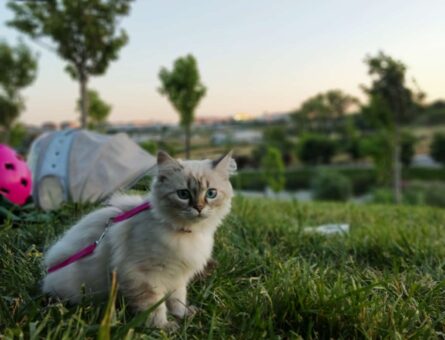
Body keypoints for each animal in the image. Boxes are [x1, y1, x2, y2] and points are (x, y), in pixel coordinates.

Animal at [42, 151, 236, 330]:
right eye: (183, 194)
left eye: (211, 193)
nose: (199, 208)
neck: (185, 232)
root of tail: (47, 276)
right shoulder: (145, 275)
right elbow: (155, 307)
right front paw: (163, 327)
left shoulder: (177, 277)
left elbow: (177, 299)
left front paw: (183, 315)